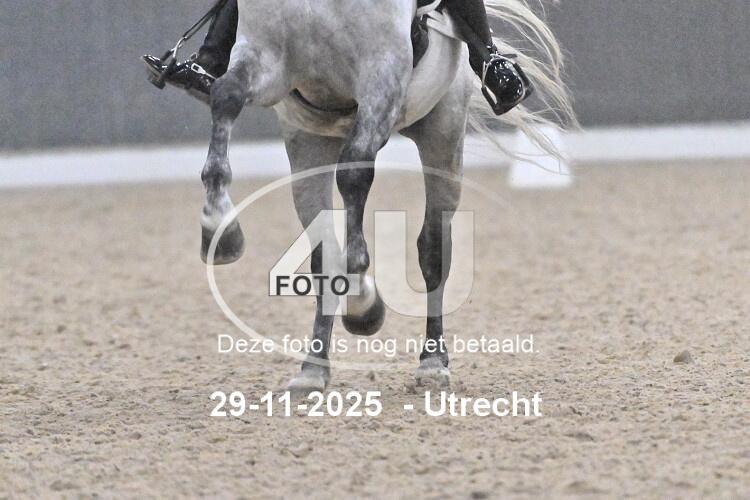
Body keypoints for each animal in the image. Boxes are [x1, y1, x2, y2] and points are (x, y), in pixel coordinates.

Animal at [199, 0, 574, 394]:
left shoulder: (382, 74)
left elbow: (354, 172)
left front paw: (362, 300)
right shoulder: (266, 58)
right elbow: (226, 95)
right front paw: (217, 226)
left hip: (443, 135)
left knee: (433, 250)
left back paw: (432, 361)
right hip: (307, 144)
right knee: (324, 256)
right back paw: (314, 367)